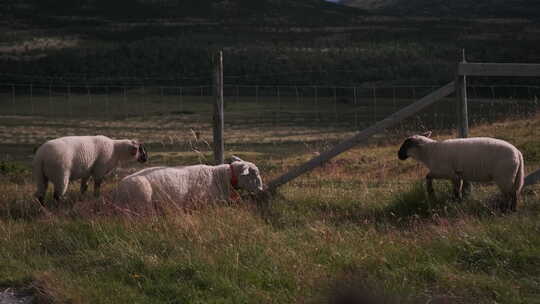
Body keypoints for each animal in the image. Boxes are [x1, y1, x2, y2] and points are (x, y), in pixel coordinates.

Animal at [396, 133, 524, 211]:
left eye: (407, 144)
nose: (399, 155)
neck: (429, 152)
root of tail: (518, 153)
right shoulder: (457, 175)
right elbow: (457, 189)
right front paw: (458, 202)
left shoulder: (447, 172)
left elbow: (428, 176)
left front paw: (431, 192)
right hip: (509, 177)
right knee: (512, 193)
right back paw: (508, 209)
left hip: (504, 177)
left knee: (512, 194)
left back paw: (509, 210)